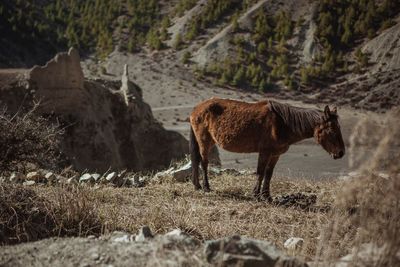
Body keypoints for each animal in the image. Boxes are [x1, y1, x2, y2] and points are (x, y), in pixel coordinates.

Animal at [189, 98, 346, 201]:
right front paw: (256, 194)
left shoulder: (275, 154)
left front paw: (267, 195)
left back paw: (197, 185)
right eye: (331, 130)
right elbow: (260, 172)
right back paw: (206, 187)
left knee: (196, 160)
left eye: (339, 128)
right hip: (205, 141)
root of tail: (196, 108)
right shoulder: (264, 152)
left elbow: (269, 174)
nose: (341, 153)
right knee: (203, 162)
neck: (282, 124)